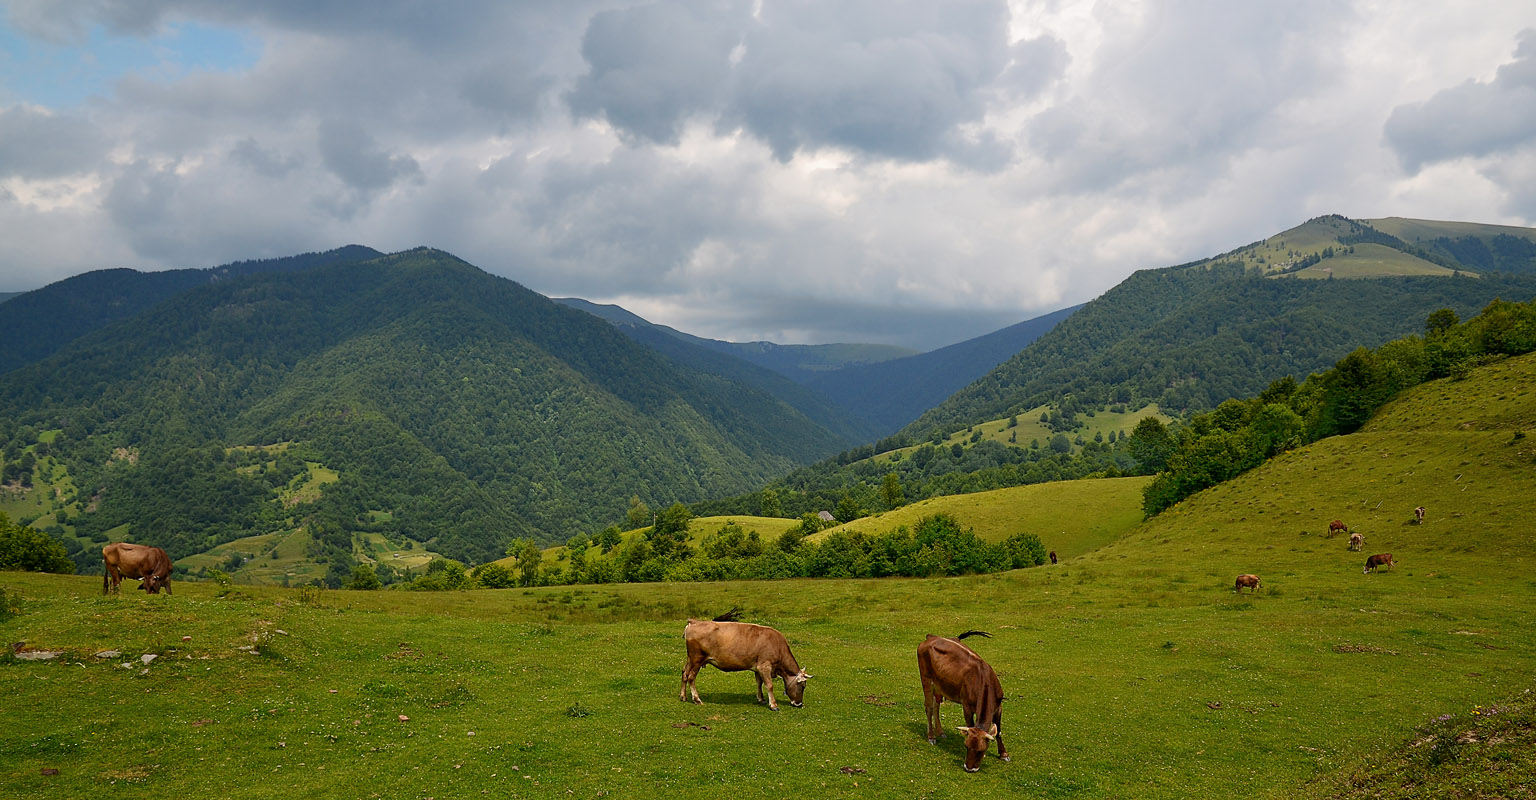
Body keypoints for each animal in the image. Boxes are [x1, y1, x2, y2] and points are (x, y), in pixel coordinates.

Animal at [678, 608, 811, 709]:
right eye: (803, 686)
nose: (799, 704)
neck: (778, 646)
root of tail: (694, 622)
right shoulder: (764, 666)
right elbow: (769, 685)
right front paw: (773, 705)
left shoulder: (758, 667)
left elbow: (759, 682)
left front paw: (761, 698)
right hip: (697, 659)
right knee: (691, 677)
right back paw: (697, 699)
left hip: (690, 658)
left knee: (684, 673)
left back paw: (683, 696)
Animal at [915, 626, 1013, 770]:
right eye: (966, 746)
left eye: (981, 750)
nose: (969, 768)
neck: (983, 680)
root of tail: (931, 637)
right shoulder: (966, 706)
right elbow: (970, 724)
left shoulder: (998, 706)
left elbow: (999, 731)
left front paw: (1004, 754)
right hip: (926, 679)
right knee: (929, 707)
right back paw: (931, 737)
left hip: (940, 686)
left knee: (936, 706)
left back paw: (940, 732)